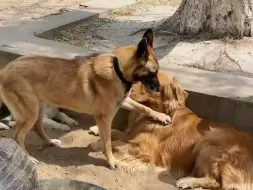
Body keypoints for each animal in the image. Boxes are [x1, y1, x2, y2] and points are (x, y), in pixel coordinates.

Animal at [0, 29, 171, 168]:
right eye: (153, 72)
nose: (159, 89)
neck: (117, 70)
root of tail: (5, 69)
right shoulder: (104, 119)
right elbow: (107, 142)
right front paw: (111, 161)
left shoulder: (124, 101)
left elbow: (144, 107)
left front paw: (161, 116)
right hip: (30, 113)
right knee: (17, 137)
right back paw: (28, 158)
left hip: (38, 109)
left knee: (38, 128)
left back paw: (50, 142)